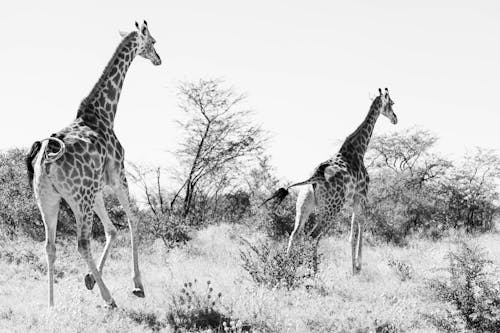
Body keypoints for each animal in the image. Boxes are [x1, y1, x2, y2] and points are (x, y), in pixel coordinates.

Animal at [25, 20, 162, 306]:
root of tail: (47, 157)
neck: (104, 113)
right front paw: (137, 285)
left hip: (48, 199)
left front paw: (89, 279)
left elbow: (111, 230)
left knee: (50, 246)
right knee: (82, 243)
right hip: (79, 198)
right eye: (153, 41)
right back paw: (109, 298)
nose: (159, 59)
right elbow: (133, 221)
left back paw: (52, 306)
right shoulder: (118, 176)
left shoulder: (96, 189)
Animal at [264, 87, 396, 272]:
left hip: (304, 204)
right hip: (332, 207)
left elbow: (354, 230)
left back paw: (286, 268)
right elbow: (358, 228)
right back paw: (313, 271)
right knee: (313, 235)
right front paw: (357, 268)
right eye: (392, 103)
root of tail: (315, 177)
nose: (395, 118)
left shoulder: (354, 199)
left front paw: (355, 267)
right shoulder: (361, 195)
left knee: (295, 234)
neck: (359, 149)